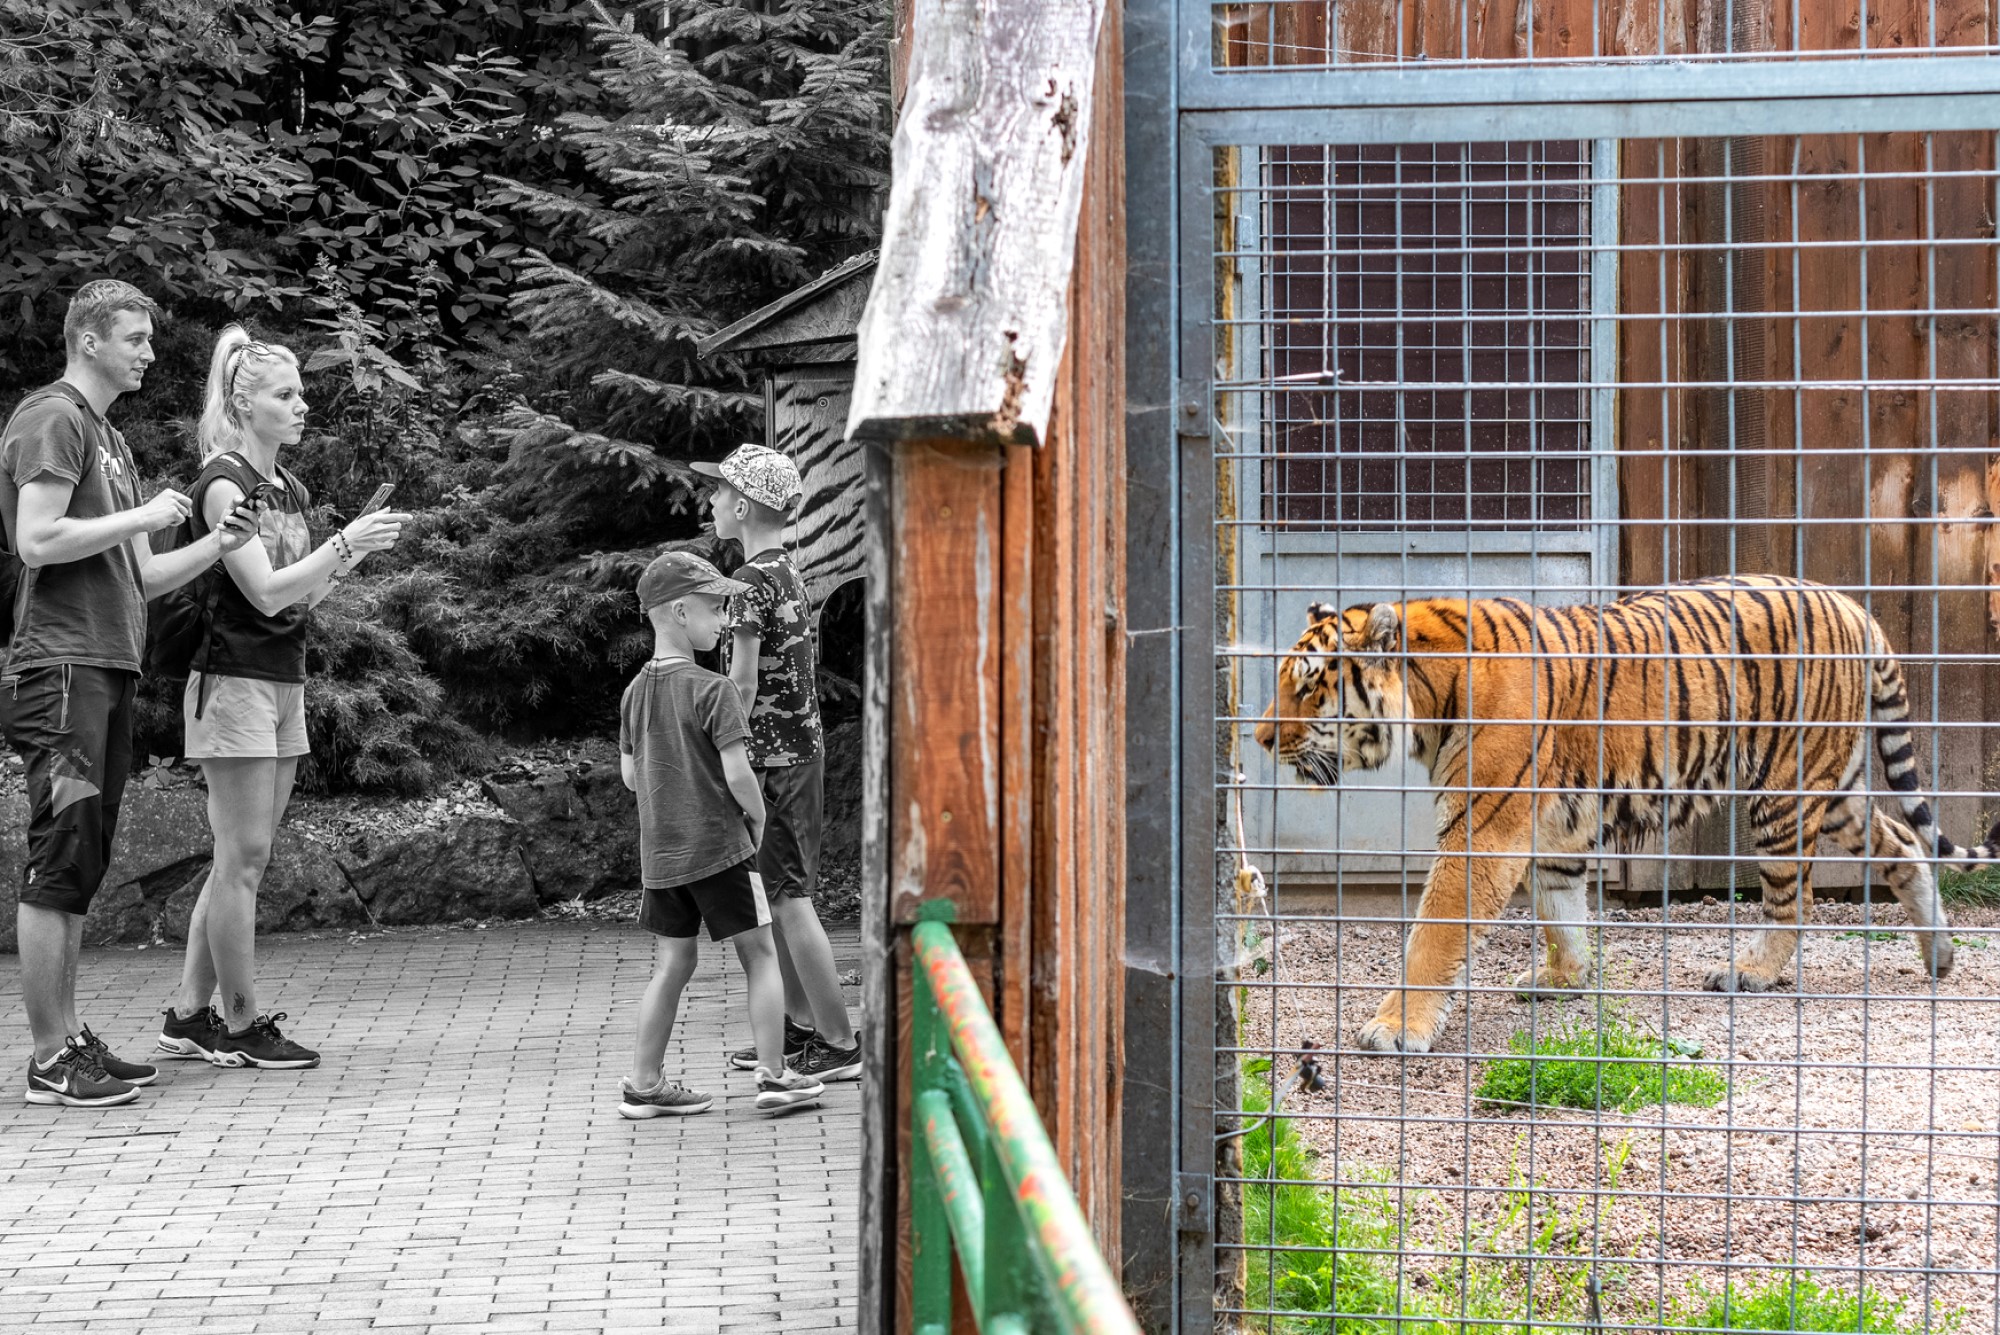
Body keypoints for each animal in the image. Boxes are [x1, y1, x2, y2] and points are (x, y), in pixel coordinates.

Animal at [1256, 575, 1992, 1055]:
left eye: (1310, 687)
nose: (1261, 738)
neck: (1429, 702)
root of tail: (1851, 604)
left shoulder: (1480, 832)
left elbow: (1431, 937)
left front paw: (1395, 1027)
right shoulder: (1552, 828)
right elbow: (1561, 911)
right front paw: (1563, 979)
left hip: (1783, 790)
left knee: (1796, 899)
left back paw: (1751, 971)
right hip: (1832, 787)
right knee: (1904, 844)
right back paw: (1940, 953)